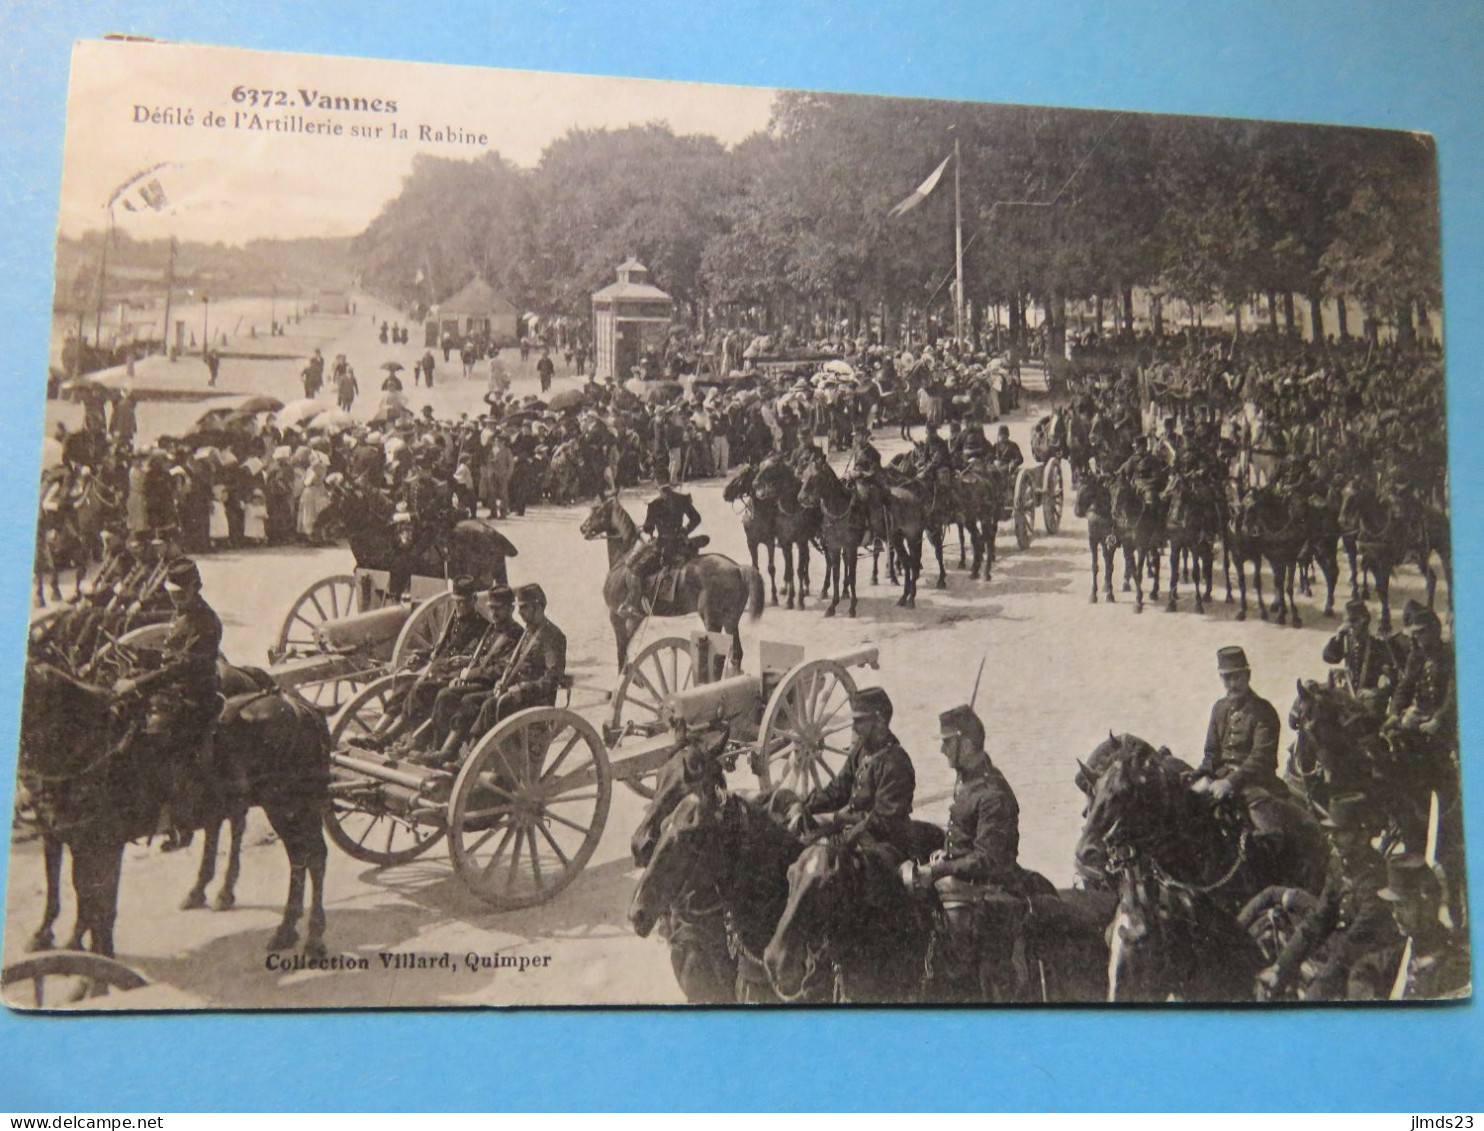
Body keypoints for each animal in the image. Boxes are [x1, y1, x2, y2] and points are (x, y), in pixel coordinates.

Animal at [20, 661, 333, 979]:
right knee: (296, 858)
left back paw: (312, 937)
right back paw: (283, 928)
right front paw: (56, 937)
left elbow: (94, 898)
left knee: (314, 857)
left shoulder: (104, 844)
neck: (91, 744)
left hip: (290, 805)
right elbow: (66, 887)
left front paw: (85, 949)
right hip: (279, 806)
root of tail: (301, 707)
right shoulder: (61, 834)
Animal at [578, 489, 765, 664]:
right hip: (731, 620)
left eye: (596, 510)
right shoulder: (636, 618)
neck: (623, 559)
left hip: (712, 619)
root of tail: (737, 568)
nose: (582, 528)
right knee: (736, 653)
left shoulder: (616, 615)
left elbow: (621, 652)